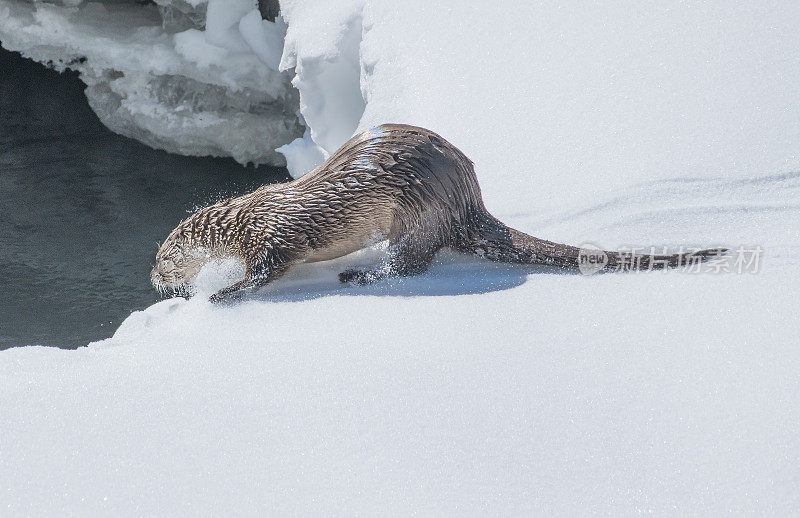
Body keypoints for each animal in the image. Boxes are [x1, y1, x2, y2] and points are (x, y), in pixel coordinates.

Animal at [150, 124, 724, 302]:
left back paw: (358, 275)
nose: (153, 280)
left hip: (417, 212)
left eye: (160, 261)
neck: (246, 217)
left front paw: (219, 293)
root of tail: (468, 197)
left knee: (411, 264)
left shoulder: (273, 238)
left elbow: (266, 273)